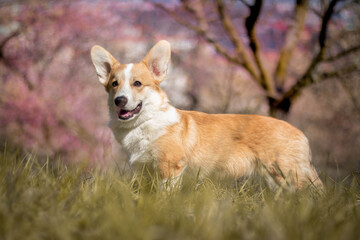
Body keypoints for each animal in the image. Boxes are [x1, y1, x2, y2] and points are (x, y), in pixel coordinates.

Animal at [90, 39, 324, 189]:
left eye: (137, 83)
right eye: (114, 84)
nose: (119, 100)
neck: (145, 123)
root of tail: (301, 134)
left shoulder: (170, 168)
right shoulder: (144, 172)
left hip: (288, 176)